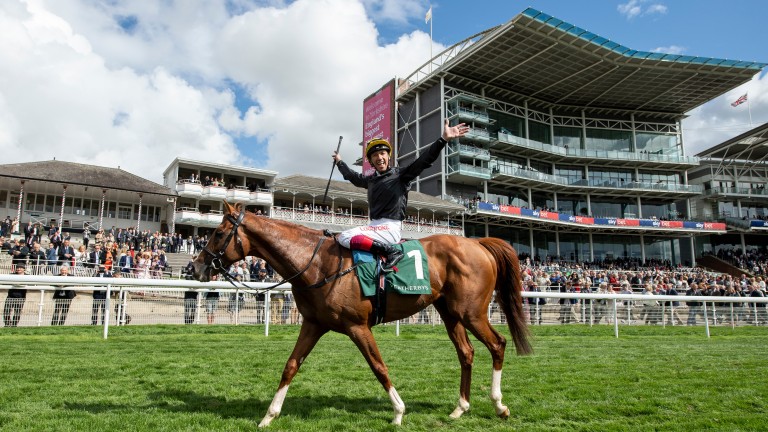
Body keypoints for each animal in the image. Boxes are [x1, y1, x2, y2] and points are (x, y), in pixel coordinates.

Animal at [192, 202, 532, 426]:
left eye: (218, 233)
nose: (195, 267)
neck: (319, 265)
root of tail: (479, 244)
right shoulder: (313, 324)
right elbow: (290, 366)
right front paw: (269, 415)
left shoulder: (358, 327)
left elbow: (378, 366)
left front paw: (398, 412)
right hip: (449, 312)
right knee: (466, 352)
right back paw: (460, 407)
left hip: (471, 312)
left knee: (498, 344)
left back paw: (499, 405)